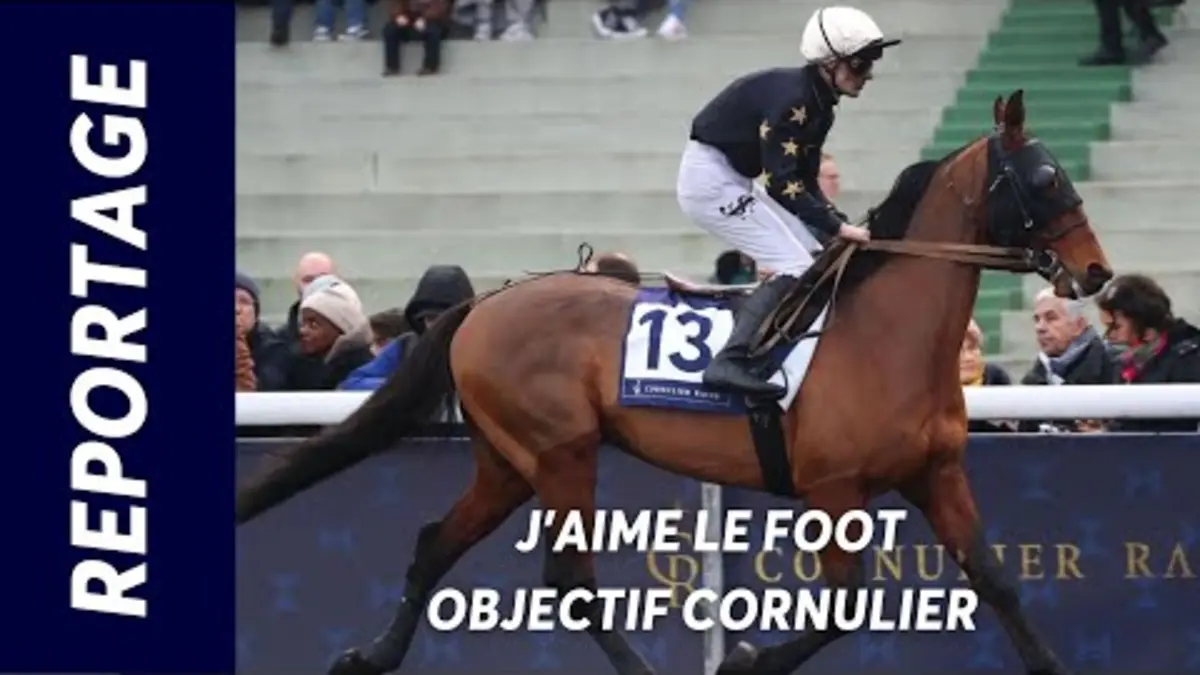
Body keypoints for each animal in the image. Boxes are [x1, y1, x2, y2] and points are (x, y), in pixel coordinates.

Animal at [236, 90, 1114, 675]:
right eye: (1043, 178)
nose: (1097, 273)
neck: (886, 336)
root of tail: (486, 303)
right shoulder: (835, 487)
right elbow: (844, 600)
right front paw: (742, 658)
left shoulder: (937, 472)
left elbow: (996, 579)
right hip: (561, 451)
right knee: (572, 581)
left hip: (509, 460)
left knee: (436, 540)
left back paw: (369, 654)